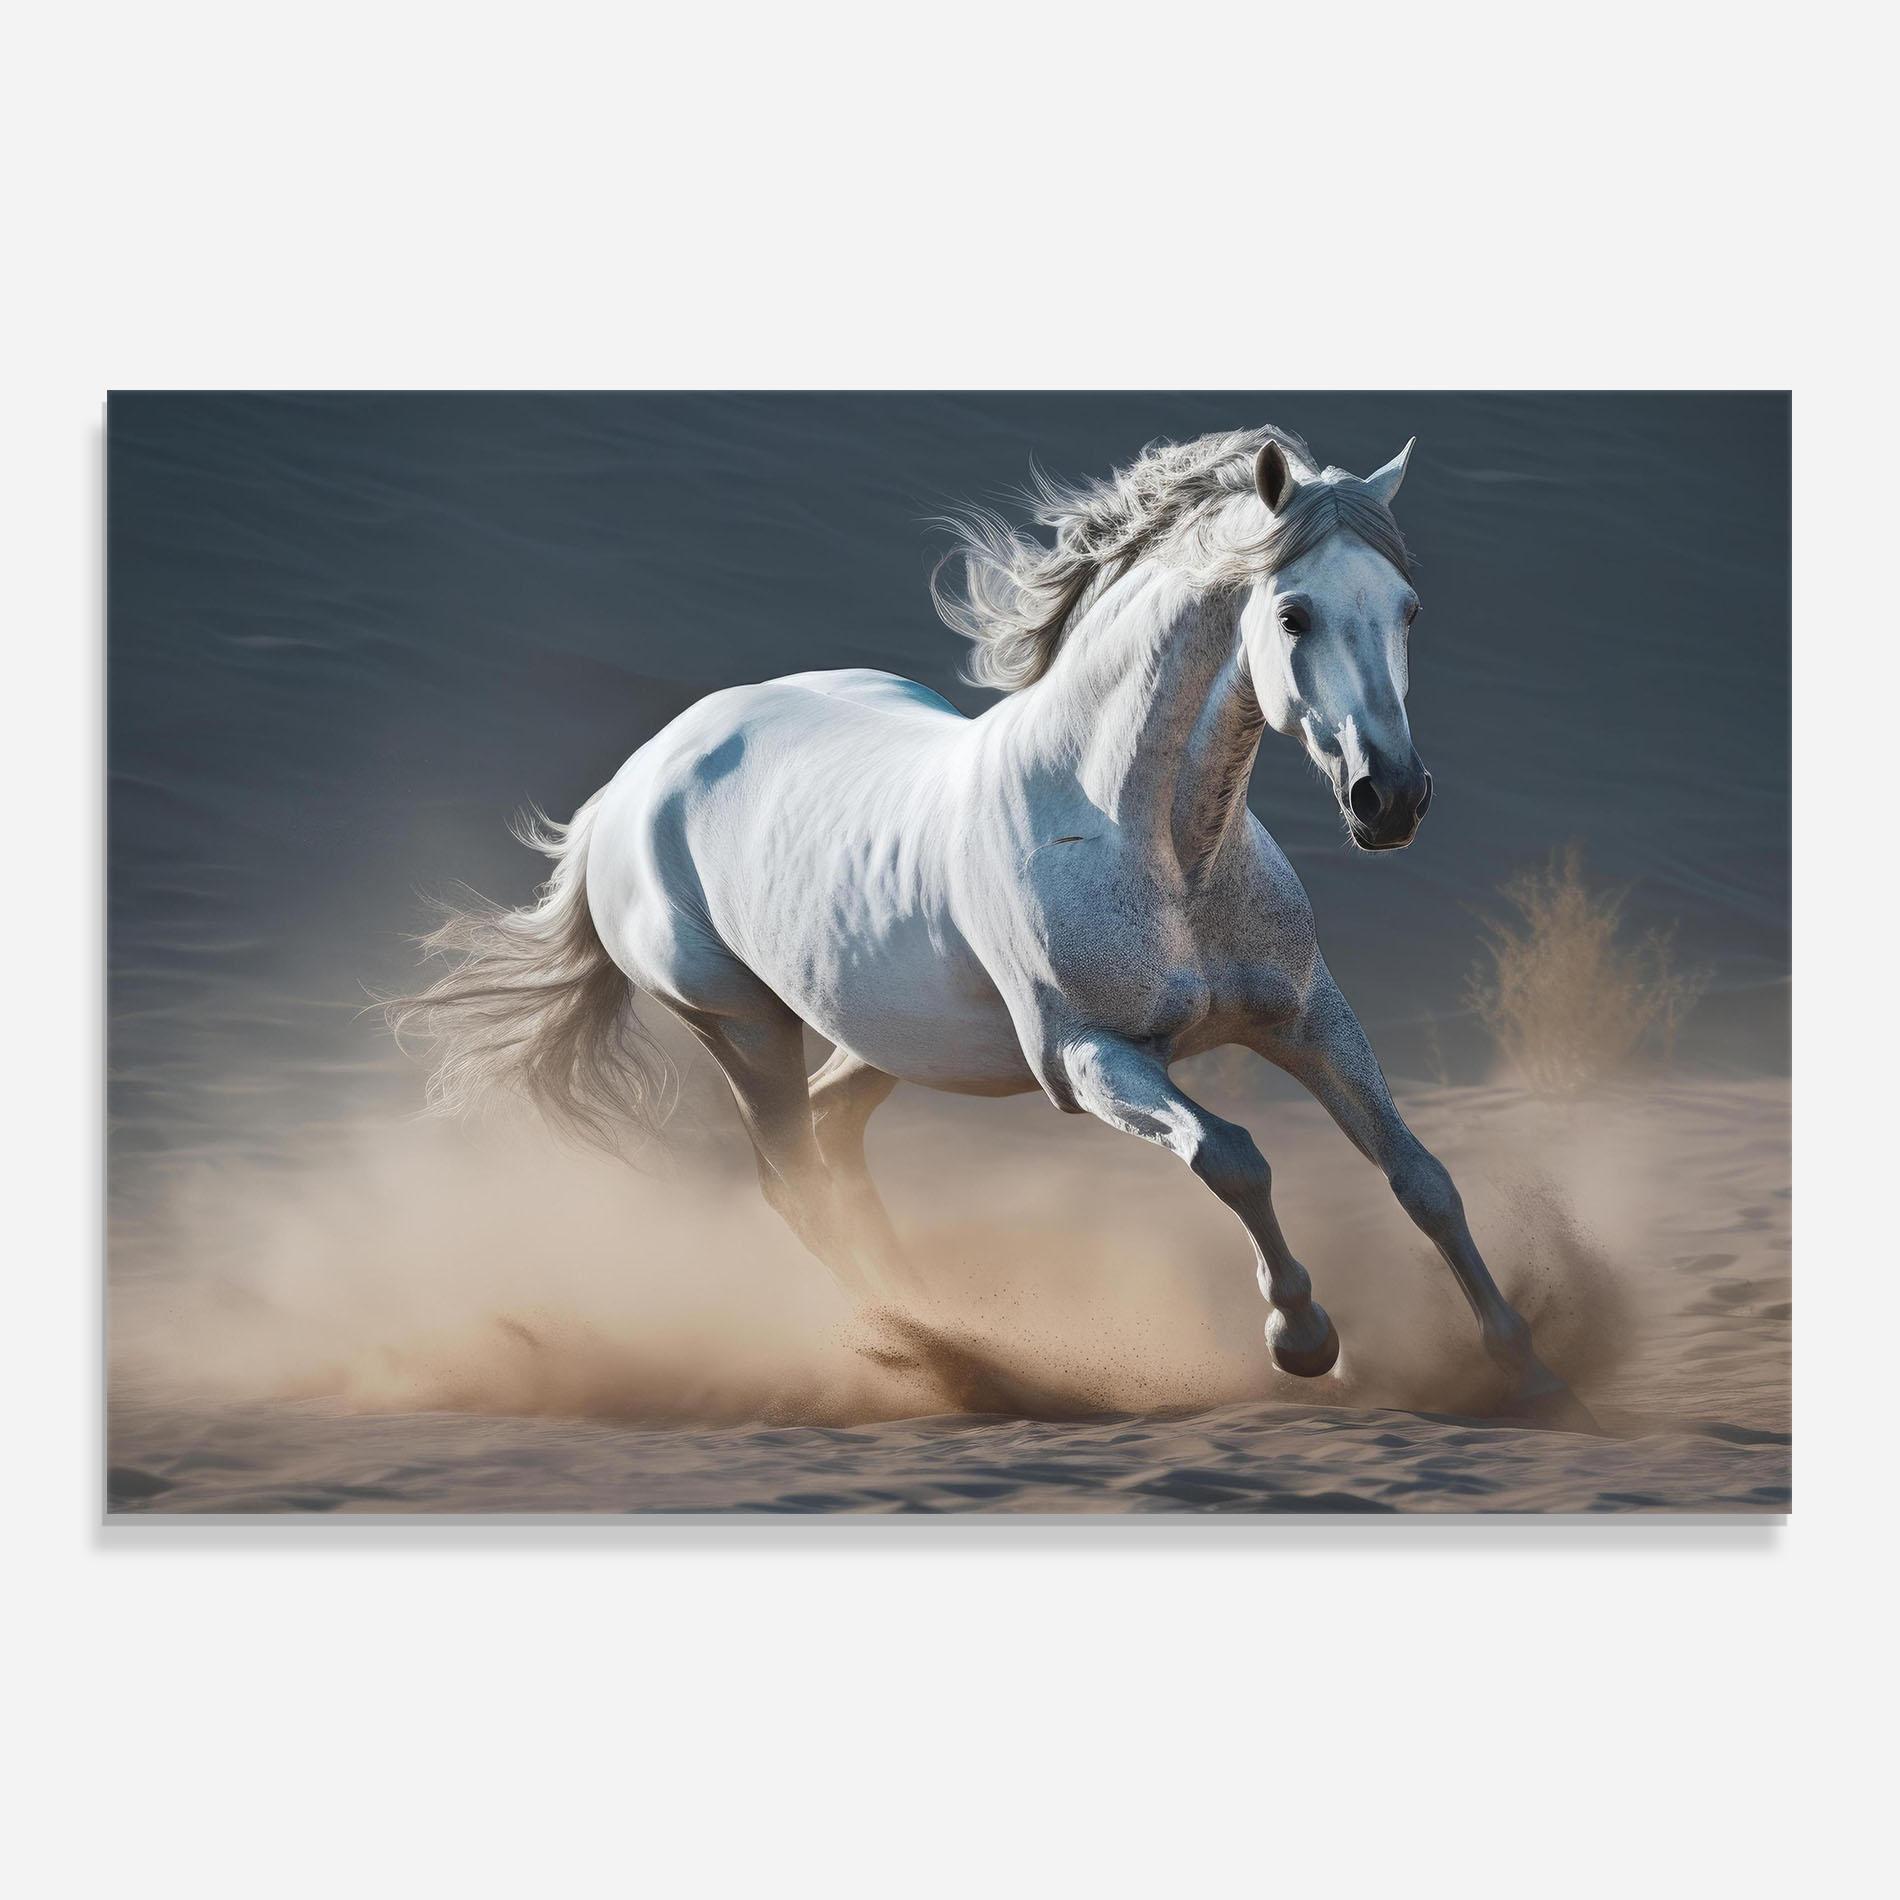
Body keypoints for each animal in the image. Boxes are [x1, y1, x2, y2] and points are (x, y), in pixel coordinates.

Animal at [387, 423, 1594, 1430]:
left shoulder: (1306, 1018)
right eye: (1293, 614)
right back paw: (951, 1356)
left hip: (883, 1035)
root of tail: (635, 780)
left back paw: (951, 1325)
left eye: (1407, 609)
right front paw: (1302, 1340)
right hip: (739, 1027)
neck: (1150, 840)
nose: (1390, 800)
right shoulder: (1088, 1058)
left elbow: (1420, 1174)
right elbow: (1235, 1157)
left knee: (834, 1139)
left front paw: (1526, 1367)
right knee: (791, 1182)